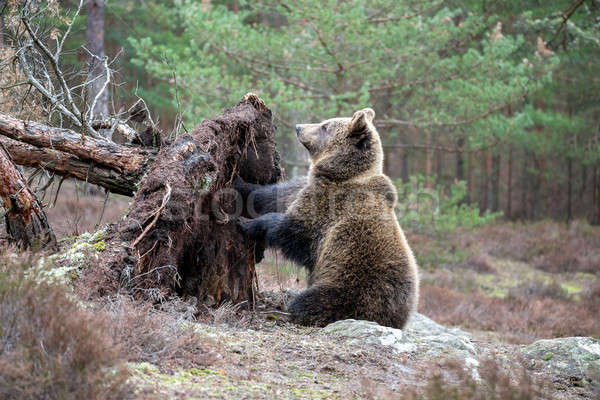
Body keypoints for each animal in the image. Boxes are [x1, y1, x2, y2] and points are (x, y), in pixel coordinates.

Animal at [237, 107, 420, 328]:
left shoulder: (329, 204)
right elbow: (272, 195)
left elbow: (295, 230)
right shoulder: (304, 188)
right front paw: (239, 183)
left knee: (313, 302)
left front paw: (248, 223)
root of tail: (400, 317)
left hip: (349, 285)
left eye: (325, 126)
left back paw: (287, 312)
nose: (299, 127)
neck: (341, 174)